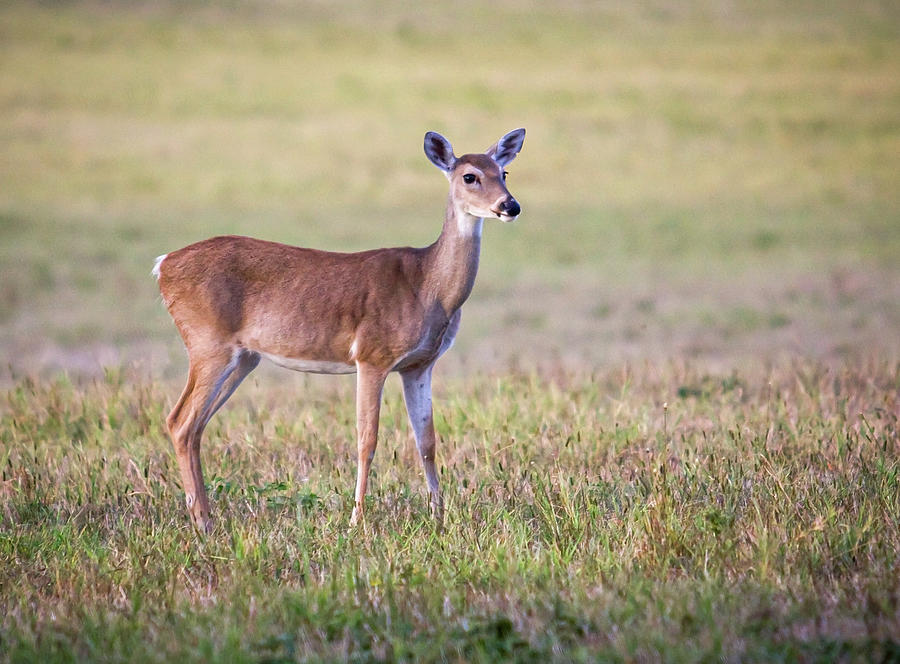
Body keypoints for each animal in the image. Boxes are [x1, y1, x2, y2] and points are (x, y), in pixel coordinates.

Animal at [151, 128, 524, 536]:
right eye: (470, 176)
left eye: (504, 172)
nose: (510, 205)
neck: (427, 286)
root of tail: (163, 265)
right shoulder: (372, 354)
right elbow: (367, 439)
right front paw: (356, 520)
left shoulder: (419, 365)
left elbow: (426, 441)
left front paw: (439, 516)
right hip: (208, 342)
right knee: (180, 421)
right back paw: (203, 522)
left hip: (244, 357)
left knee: (194, 425)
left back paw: (207, 517)